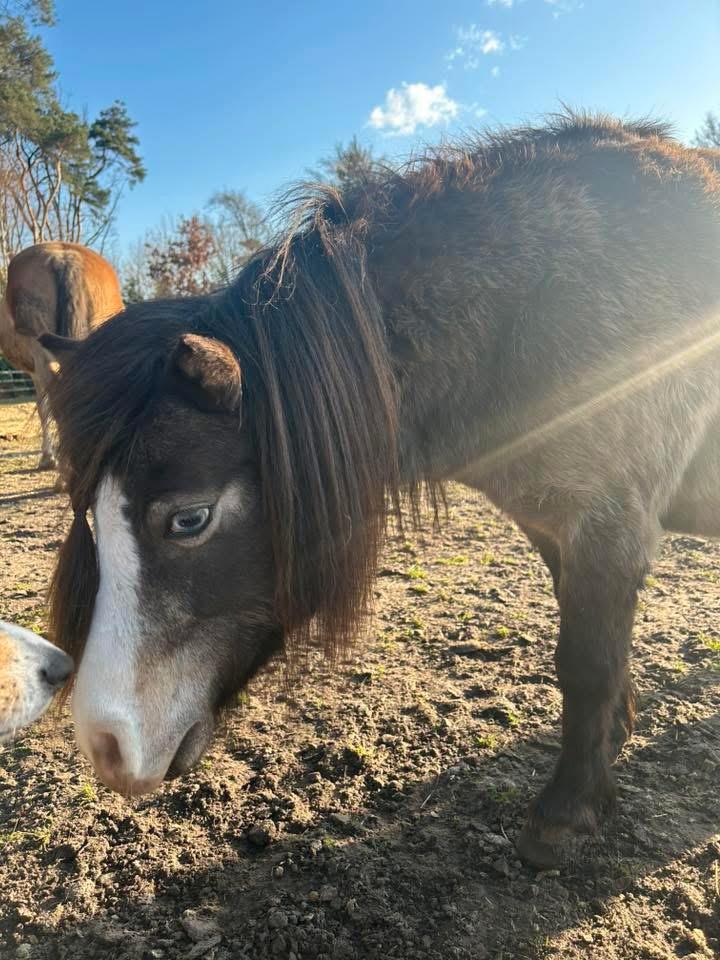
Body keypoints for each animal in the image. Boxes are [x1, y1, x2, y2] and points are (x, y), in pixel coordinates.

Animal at [41, 114, 720, 867]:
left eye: (189, 519)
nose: (104, 743)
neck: (545, 305)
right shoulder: (557, 530)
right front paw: (613, 743)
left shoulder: (609, 525)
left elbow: (587, 661)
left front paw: (566, 814)